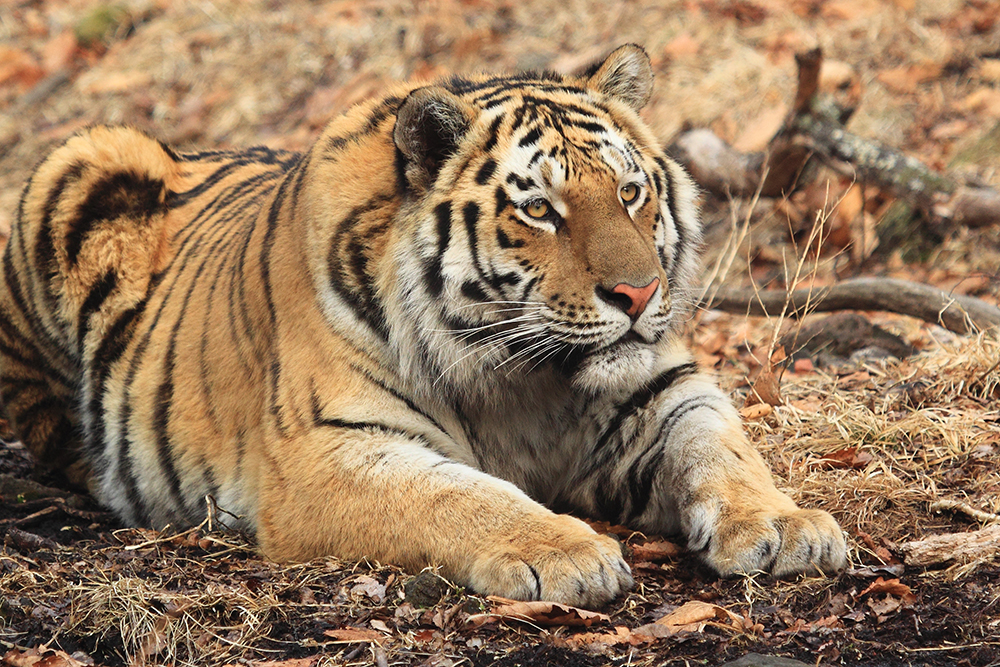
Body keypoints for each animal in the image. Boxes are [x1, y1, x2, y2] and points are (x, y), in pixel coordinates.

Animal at [0, 44, 844, 608]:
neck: (525, 380)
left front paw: (786, 523)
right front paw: (567, 551)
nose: (638, 294)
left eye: (630, 192)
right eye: (540, 208)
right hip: (84, 160)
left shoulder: (667, 390)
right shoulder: (330, 448)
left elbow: (725, 451)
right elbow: (461, 496)